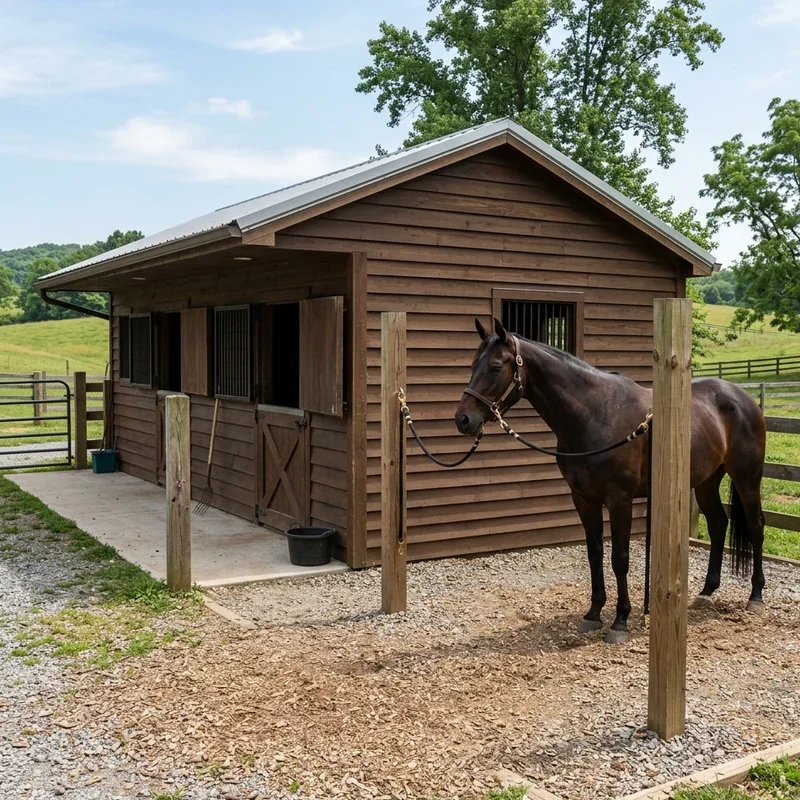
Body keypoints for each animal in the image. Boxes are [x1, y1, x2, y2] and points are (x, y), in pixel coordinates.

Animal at [455, 318, 767, 644]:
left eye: (495, 366)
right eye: (473, 364)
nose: (463, 419)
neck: (595, 414)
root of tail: (745, 398)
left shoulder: (619, 500)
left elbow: (619, 557)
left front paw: (621, 620)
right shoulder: (583, 499)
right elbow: (595, 554)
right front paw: (593, 613)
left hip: (747, 478)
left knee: (756, 525)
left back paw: (756, 596)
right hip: (706, 481)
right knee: (718, 524)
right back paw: (706, 592)